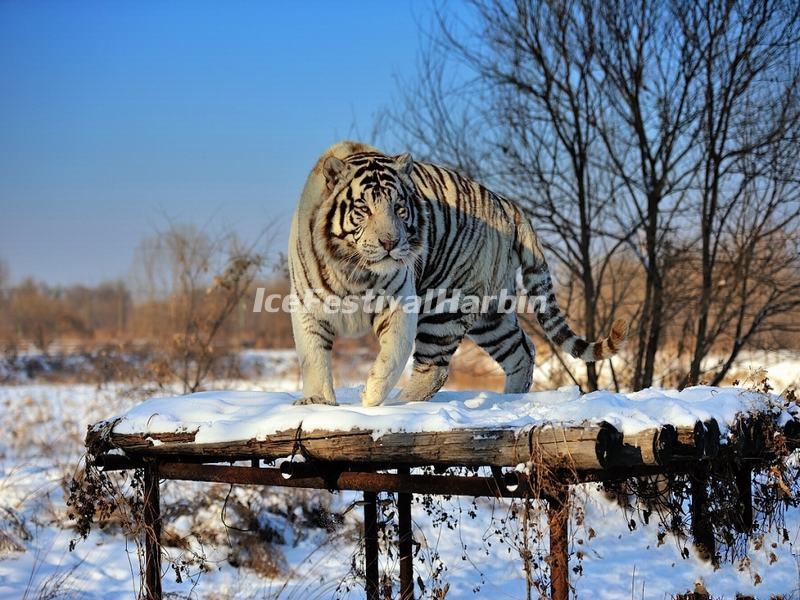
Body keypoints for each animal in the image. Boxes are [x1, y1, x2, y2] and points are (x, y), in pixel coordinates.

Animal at [284, 142, 628, 408]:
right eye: (363, 209)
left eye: (399, 207)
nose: (390, 243)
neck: (353, 269)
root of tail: (508, 204)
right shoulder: (308, 306)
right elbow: (313, 358)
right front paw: (317, 402)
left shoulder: (400, 302)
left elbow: (393, 354)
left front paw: (370, 397)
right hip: (491, 315)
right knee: (523, 350)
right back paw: (510, 400)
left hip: (445, 307)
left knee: (434, 368)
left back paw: (401, 404)